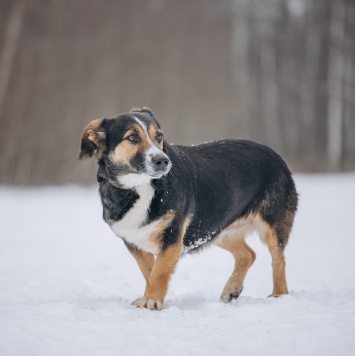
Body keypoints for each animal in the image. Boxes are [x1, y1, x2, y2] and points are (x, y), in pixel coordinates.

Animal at [79, 107, 298, 310]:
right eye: (132, 137)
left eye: (159, 136)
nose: (163, 161)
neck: (139, 188)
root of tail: (275, 154)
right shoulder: (134, 241)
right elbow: (149, 271)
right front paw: (150, 297)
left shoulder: (172, 236)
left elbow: (159, 272)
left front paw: (152, 300)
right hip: (215, 229)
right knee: (248, 255)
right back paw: (232, 289)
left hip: (272, 225)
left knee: (279, 260)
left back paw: (279, 295)